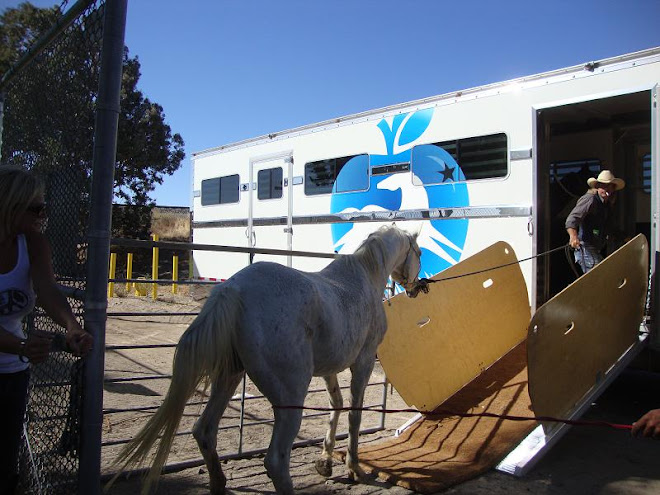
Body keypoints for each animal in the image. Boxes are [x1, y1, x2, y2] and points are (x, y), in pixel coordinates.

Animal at [110, 227, 420, 494]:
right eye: (418, 252)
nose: (416, 287)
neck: (363, 278)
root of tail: (232, 290)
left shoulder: (328, 369)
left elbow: (336, 405)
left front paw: (325, 461)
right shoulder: (363, 361)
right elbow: (354, 414)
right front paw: (354, 467)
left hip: (229, 378)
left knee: (205, 431)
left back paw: (219, 484)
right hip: (290, 397)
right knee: (275, 460)